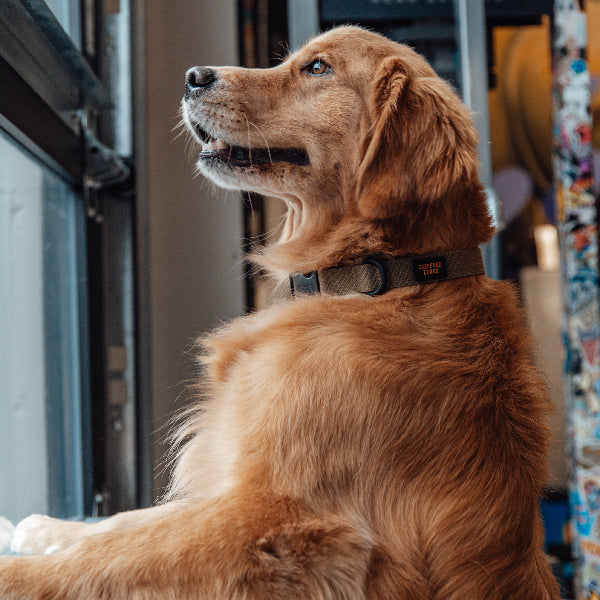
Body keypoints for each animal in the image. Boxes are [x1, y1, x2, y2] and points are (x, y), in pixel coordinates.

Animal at [1, 24, 564, 600]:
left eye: (317, 68)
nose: (193, 77)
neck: (385, 276)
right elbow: (127, 525)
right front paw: (48, 528)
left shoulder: (280, 513)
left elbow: (119, 557)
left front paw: (17, 571)